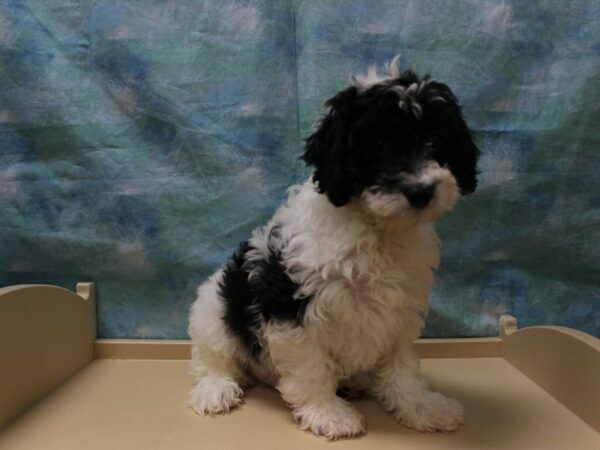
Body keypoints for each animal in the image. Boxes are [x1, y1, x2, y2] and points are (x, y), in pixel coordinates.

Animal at [190, 57, 480, 440]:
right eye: (377, 144)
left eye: (434, 139)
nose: (421, 191)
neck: (375, 228)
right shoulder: (293, 307)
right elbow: (311, 366)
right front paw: (328, 413)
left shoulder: (398, 309)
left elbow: (402, 366)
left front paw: (422, 406)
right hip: (215, 309)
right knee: (214, 356)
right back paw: (215, 388)